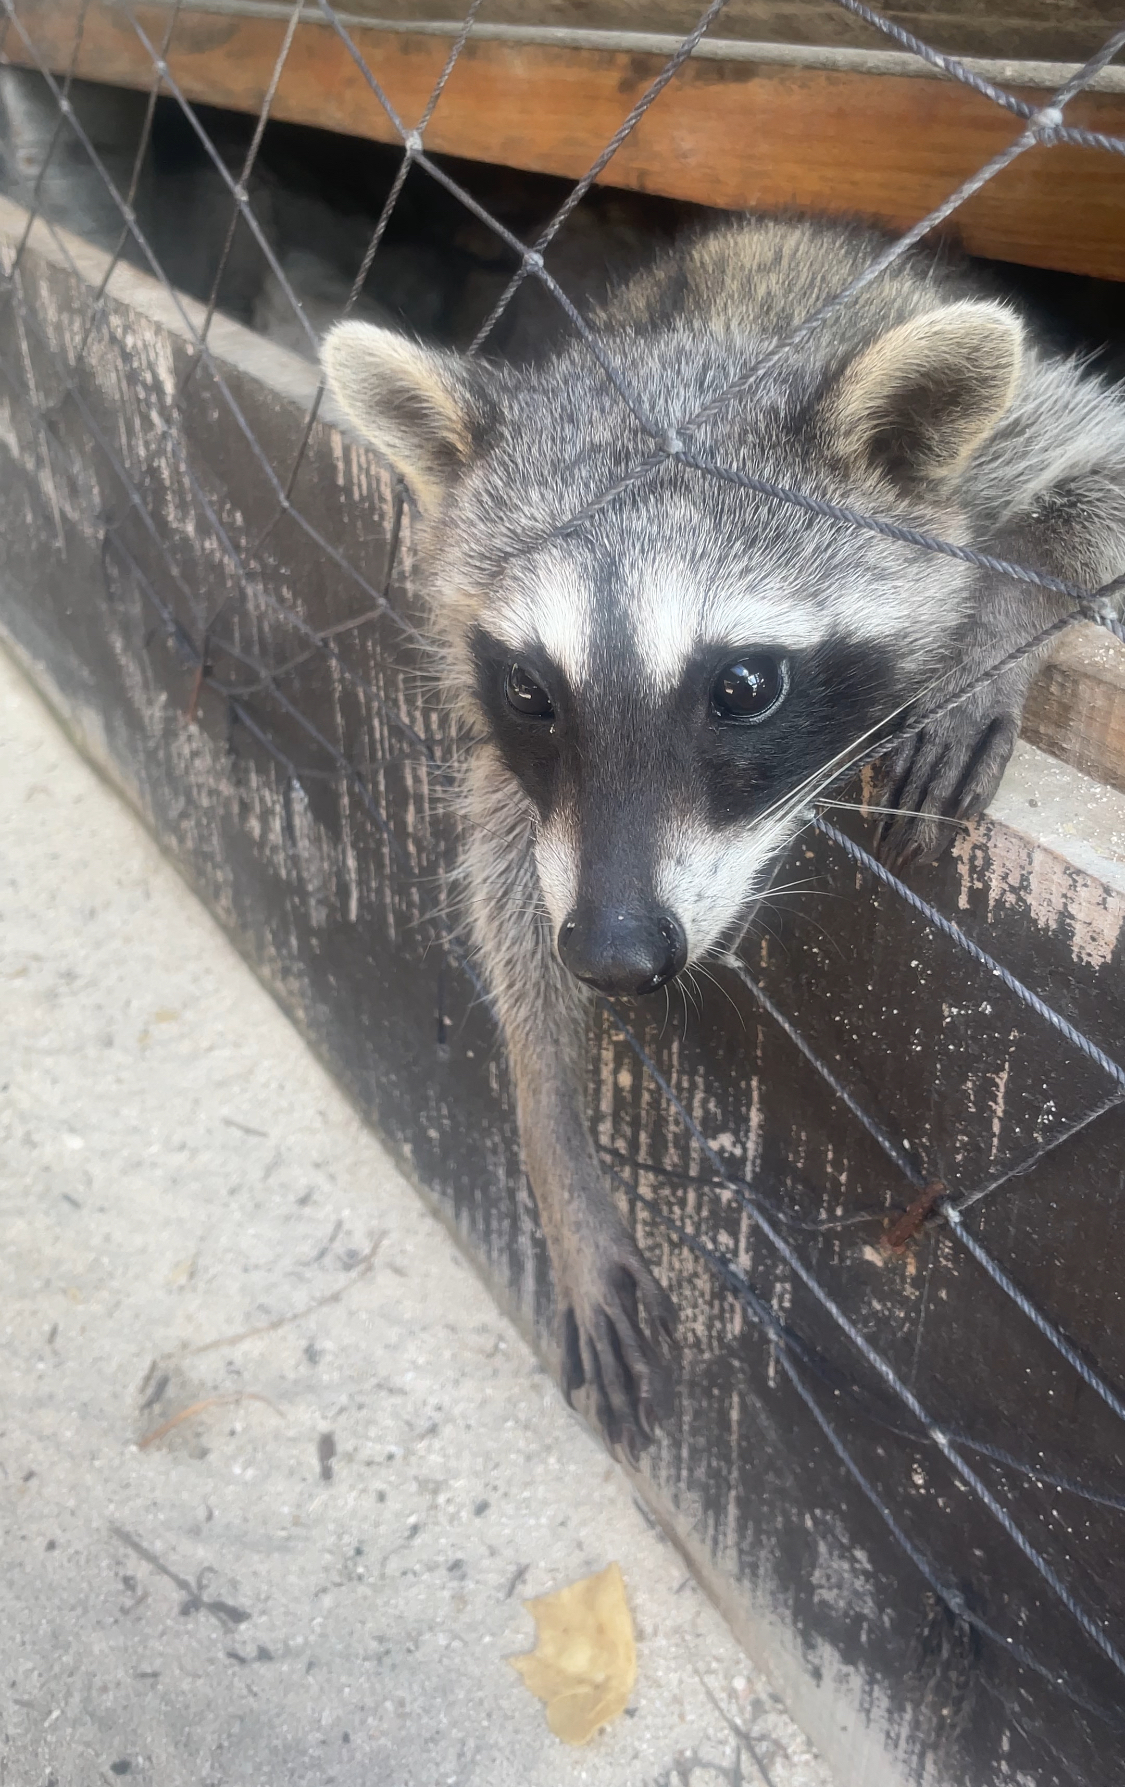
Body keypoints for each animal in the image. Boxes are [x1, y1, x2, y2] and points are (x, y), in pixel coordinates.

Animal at [324, 215, 1125, 1457]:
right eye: (530, 690)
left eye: (743, 688)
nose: (613, 955)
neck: (695, 354)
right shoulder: (530, 775)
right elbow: (507, 870)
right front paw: (553, 1131)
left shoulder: (1015, 437)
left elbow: (1095, 467)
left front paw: (1004, 618)